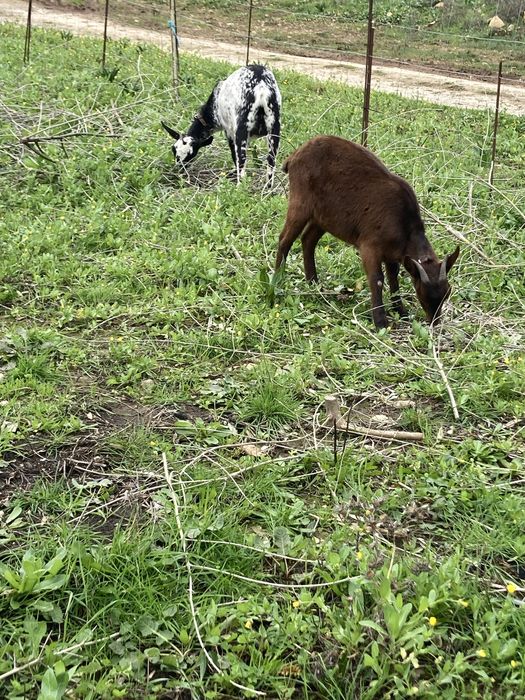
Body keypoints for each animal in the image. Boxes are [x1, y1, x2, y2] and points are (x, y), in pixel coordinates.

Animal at [275, 136, 459, 328]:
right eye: (423, 292)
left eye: (447, 292)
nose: (435, 322)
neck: (405, 227)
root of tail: (294, 156)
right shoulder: (370, 245)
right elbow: (377, 279)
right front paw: (381, 321)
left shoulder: (393, 253)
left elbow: (393, 277)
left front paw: (400, 311)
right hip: (300, 202)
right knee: (285, 239)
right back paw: (277, 281)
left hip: (324, 217)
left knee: (308, 239)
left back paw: (313, 283)